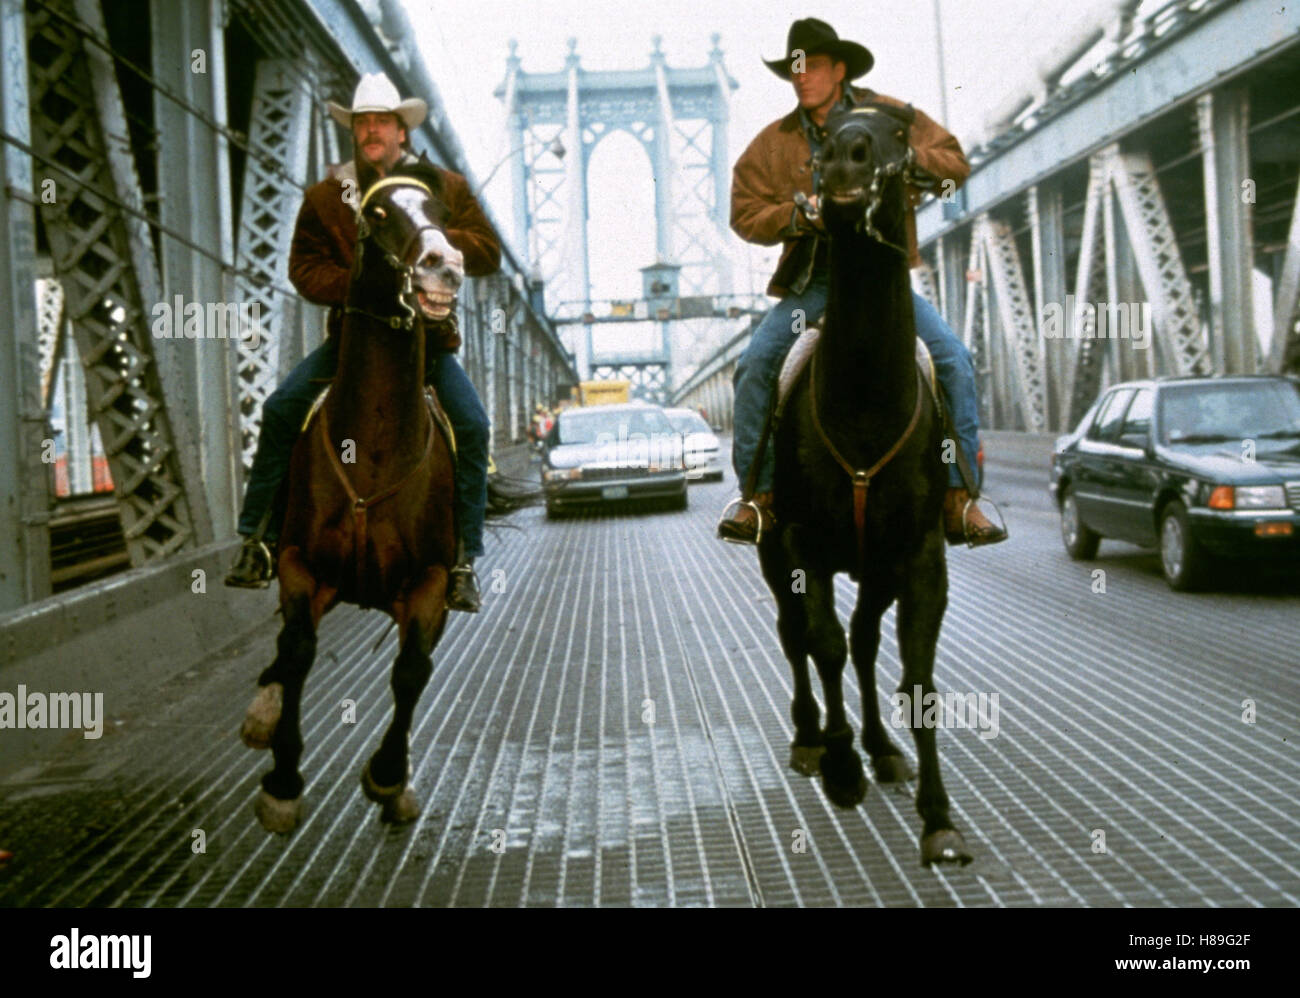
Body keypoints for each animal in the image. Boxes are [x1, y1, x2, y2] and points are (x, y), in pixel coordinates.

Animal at [764, 103, 972, 862]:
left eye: (902, 132)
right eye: (821, 140)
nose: (845, 159)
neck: (862, 403)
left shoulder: (919, 556)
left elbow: (917, 679)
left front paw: (937, 816)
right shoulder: (800, 545)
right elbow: (819, 644)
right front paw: (840, 765)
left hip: (876, 567)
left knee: (862, 641)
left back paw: (882, 748)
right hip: (774, 555)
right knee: (797, 637)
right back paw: (812, 739)